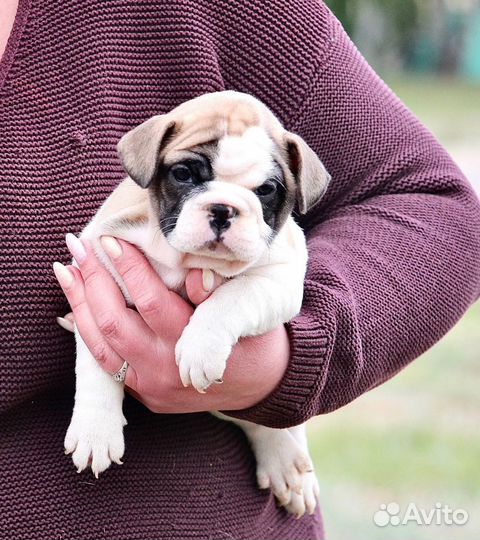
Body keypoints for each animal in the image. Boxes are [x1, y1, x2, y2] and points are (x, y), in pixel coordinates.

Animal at [62, 90, 330, 516]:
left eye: (266, 190)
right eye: (184, 174)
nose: (223, 208)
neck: (187, 260)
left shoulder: (279, 278)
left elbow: (232, 296)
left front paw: (200, 349)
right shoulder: (96, 275)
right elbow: (96, 361)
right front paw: (95, 429)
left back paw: (287, 461)